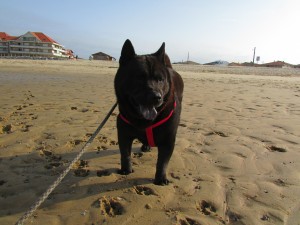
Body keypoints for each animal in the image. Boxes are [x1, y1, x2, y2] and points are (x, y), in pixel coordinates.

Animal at [114, 39, 183, 185]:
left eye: (160, 79)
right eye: (139, 78)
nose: (156, 97)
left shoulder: (168, 140)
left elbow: (162, 162)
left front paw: (161, 178)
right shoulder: (123, 133)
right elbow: (125, 153)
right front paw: (126, 169)